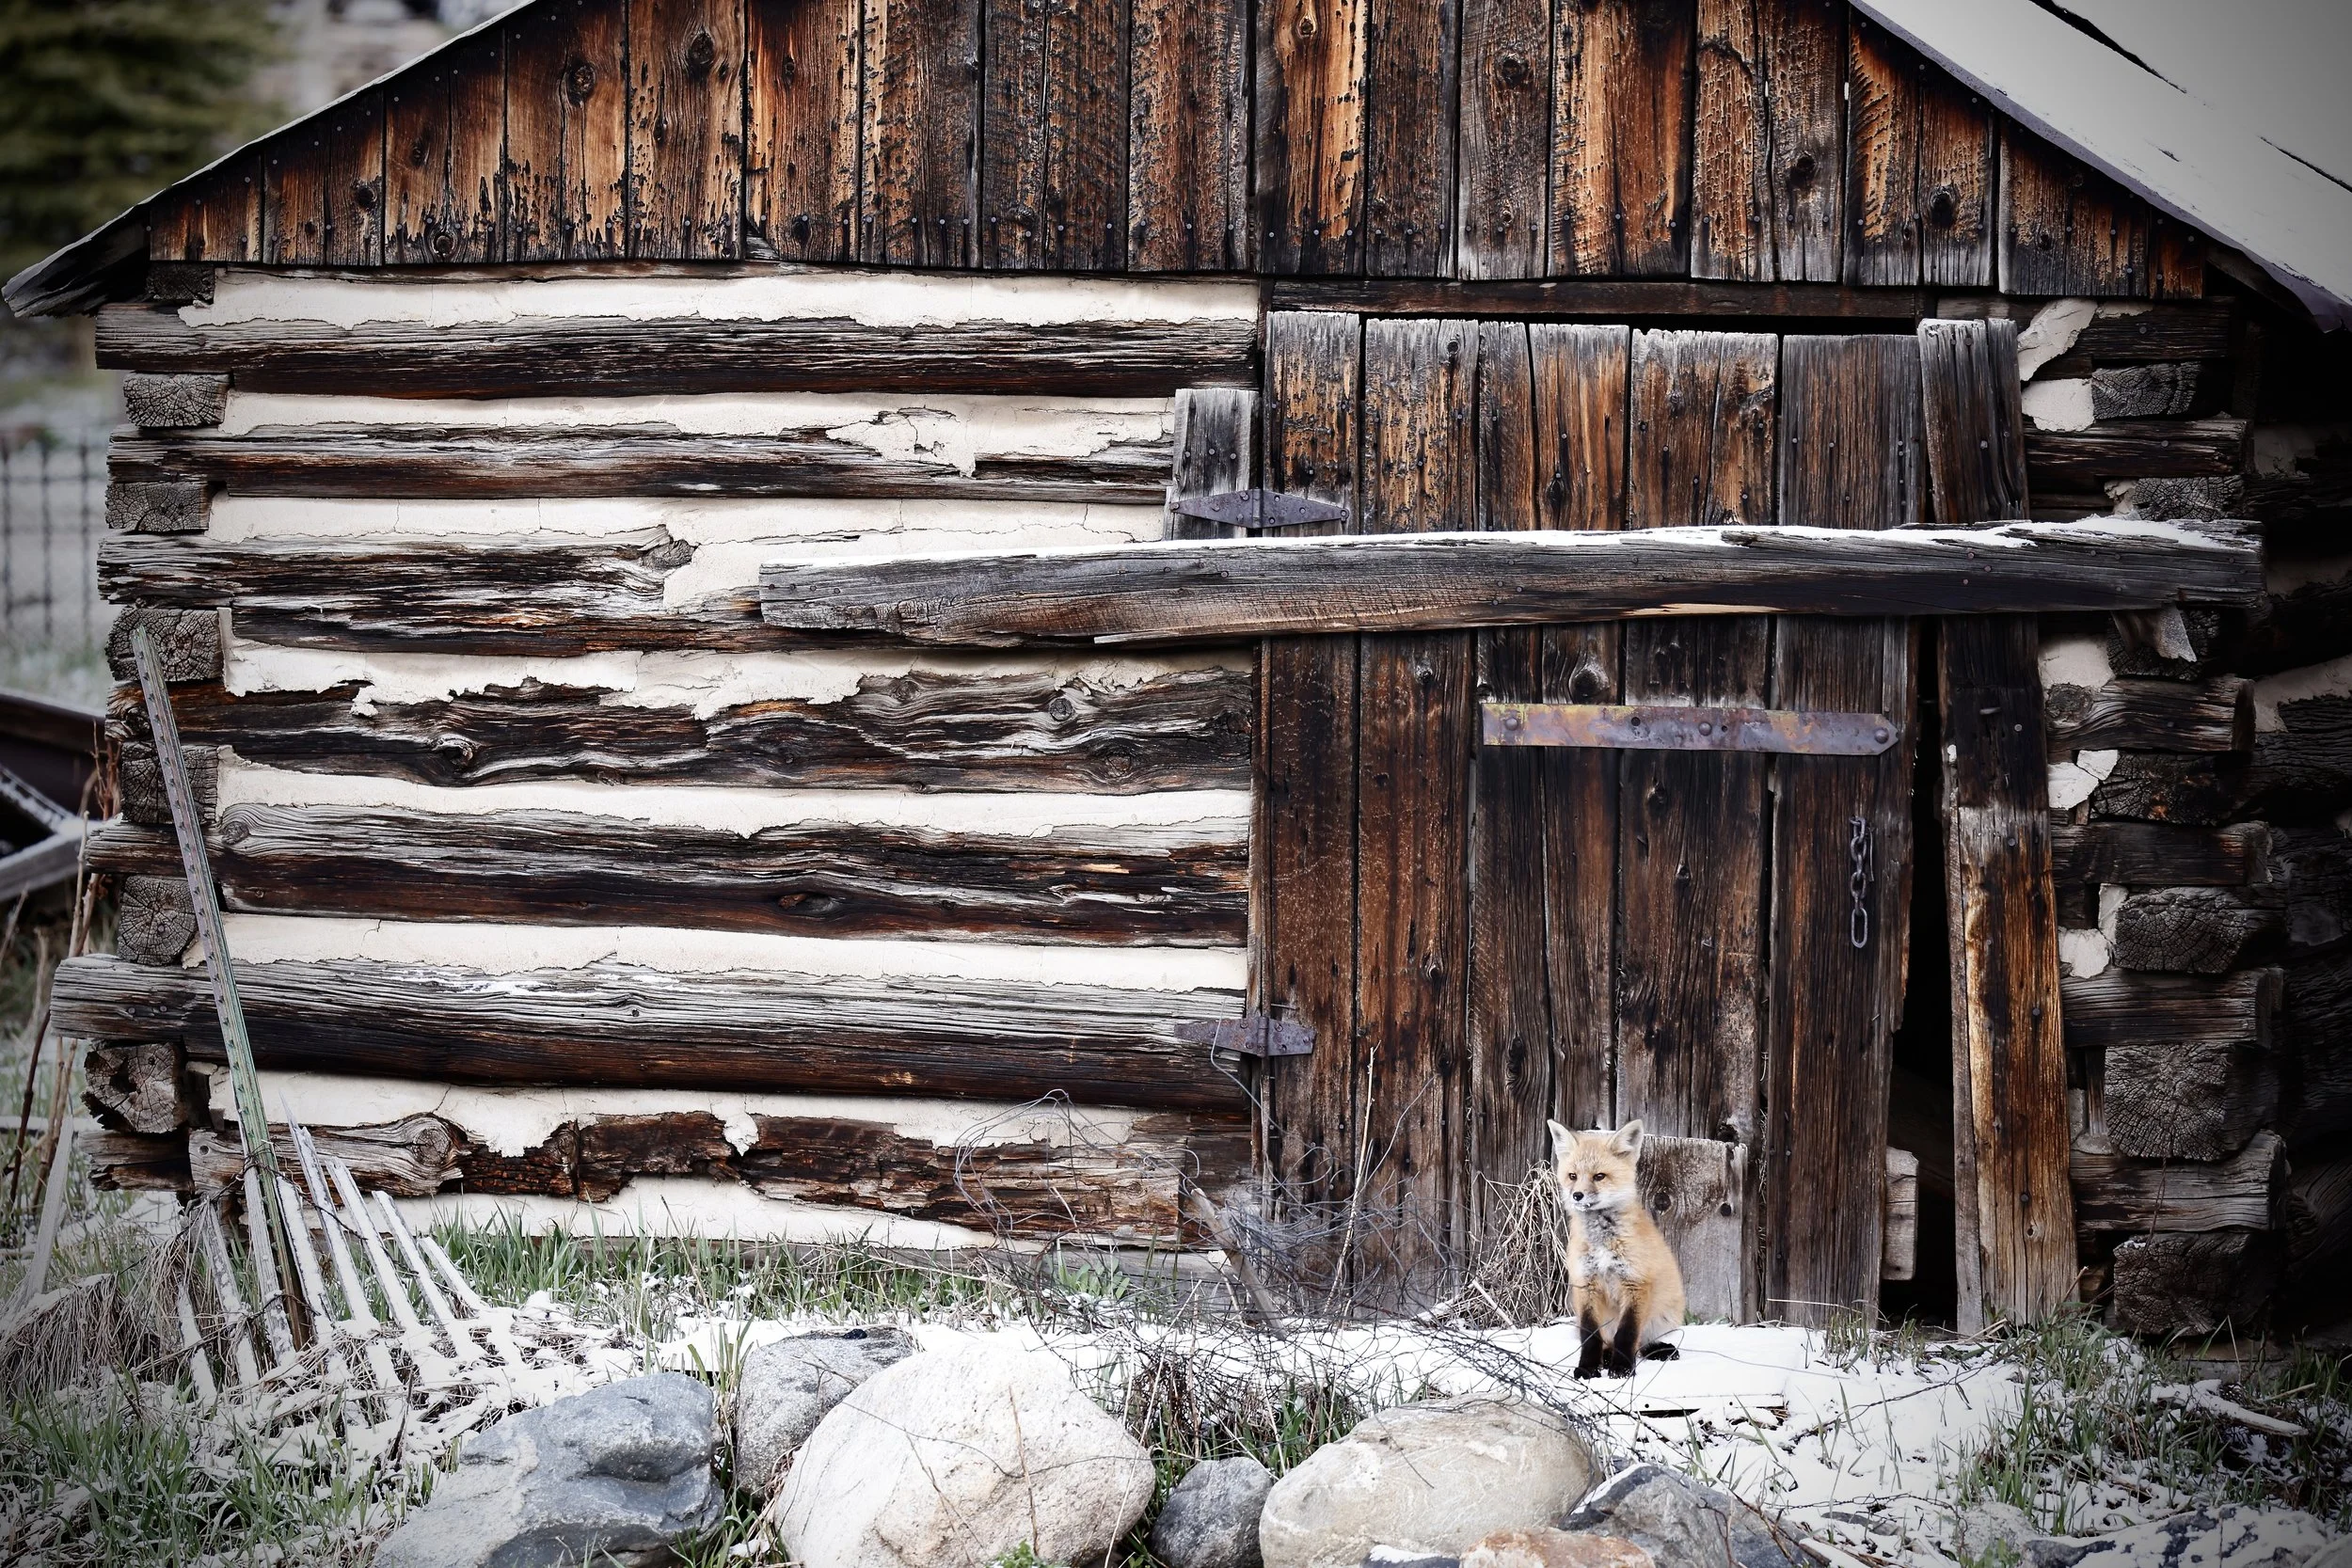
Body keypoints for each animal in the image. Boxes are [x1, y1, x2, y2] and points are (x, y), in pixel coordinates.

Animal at [1548, 1118, 1685, 1379]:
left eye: (1599, 1176)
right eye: (1573, 1176)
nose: (1577, 1195)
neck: (1603, 1241)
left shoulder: (1635, 1283)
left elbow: (1628, 1333)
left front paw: (1622, 1368)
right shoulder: (1586, 1284)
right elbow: (1590, 1335)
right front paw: (1588, 1367)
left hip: (1665, 1315)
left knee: (1641, 1343)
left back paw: (1653, 1350)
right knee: (1607, 1341)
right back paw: (1606, 1355)